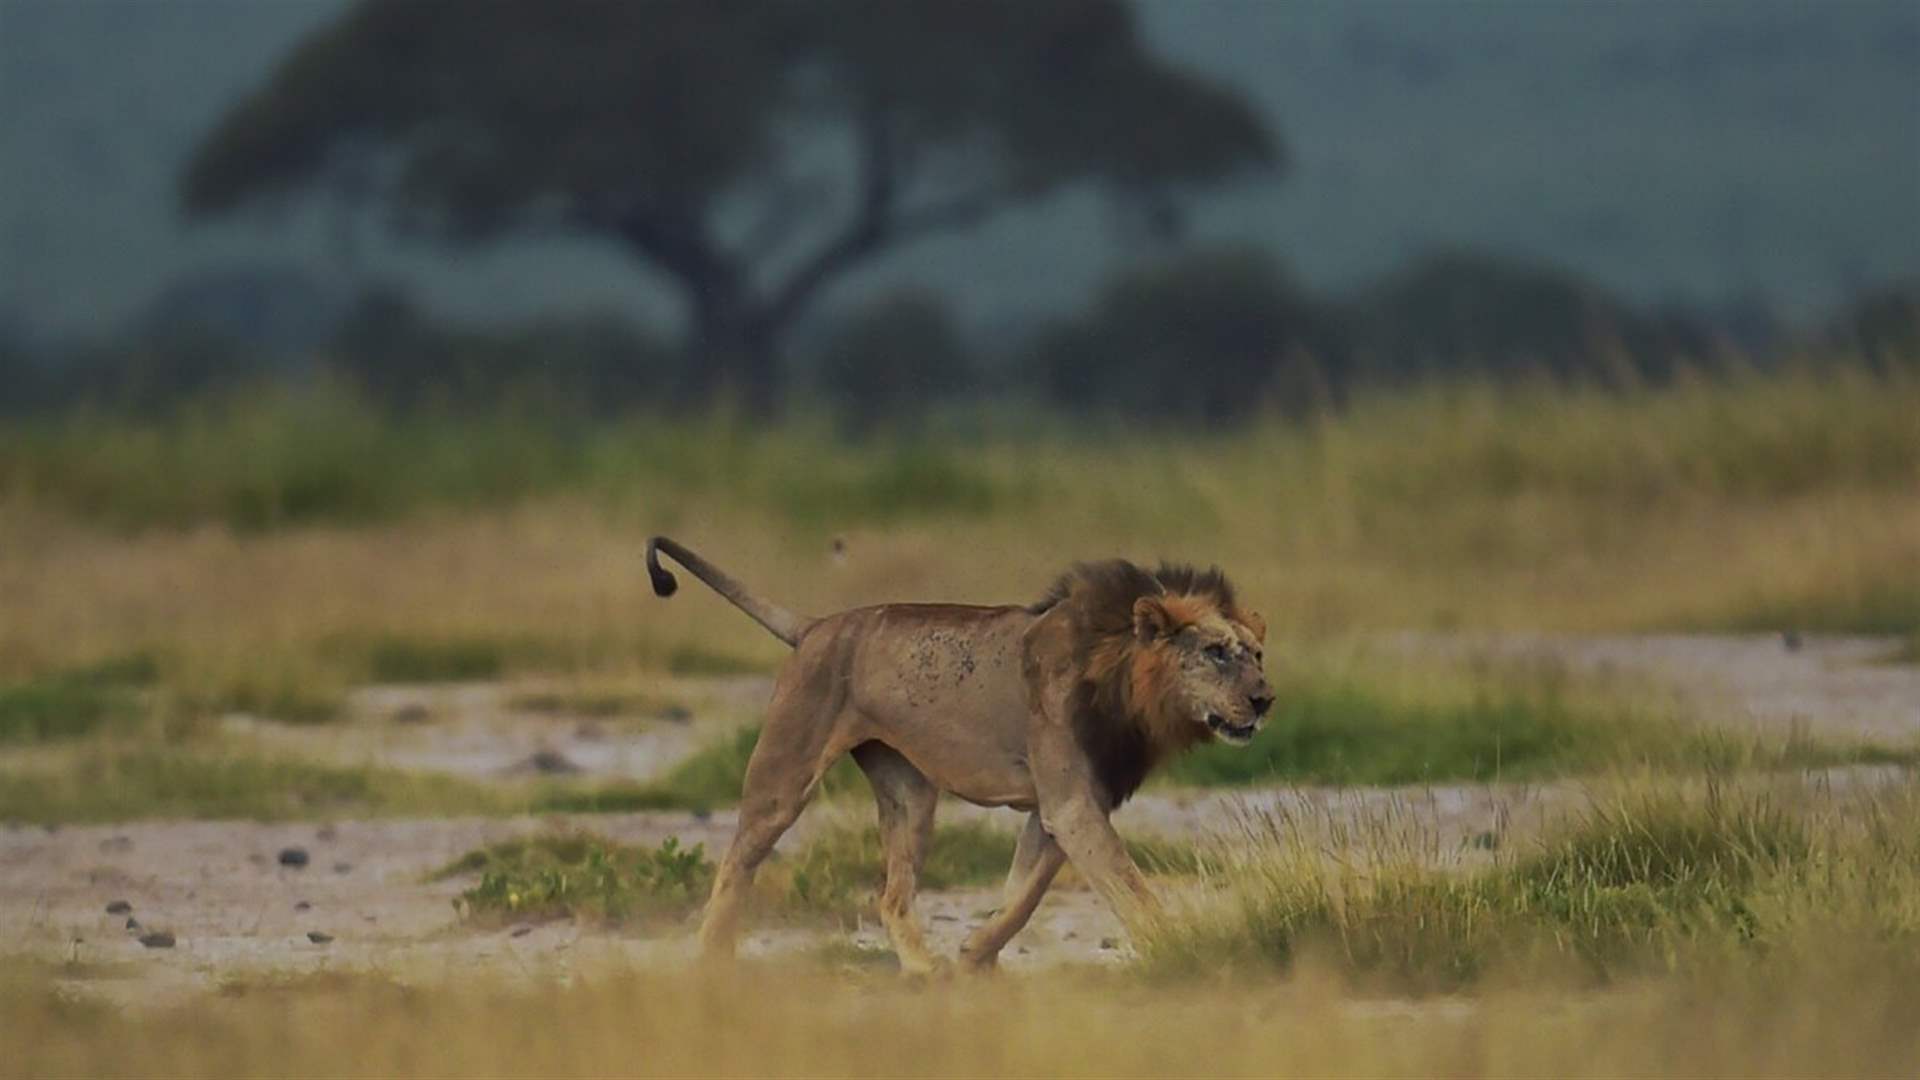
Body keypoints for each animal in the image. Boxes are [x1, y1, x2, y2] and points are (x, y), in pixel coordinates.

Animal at [646, 536, 1273, 972]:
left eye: (1257, 654)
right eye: (1216, 653)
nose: (1265, 700)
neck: (1124, 682)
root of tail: (816, 626)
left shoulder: (1065, 806)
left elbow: (1023, 895)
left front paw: (974, 955)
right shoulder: (1070, 805)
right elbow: (1129, 885)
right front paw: (1182, 946)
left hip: (909, 794)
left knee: (891, 895)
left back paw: (923, 969)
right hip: (785, 769)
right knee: (736, 862)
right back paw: (711, 959)